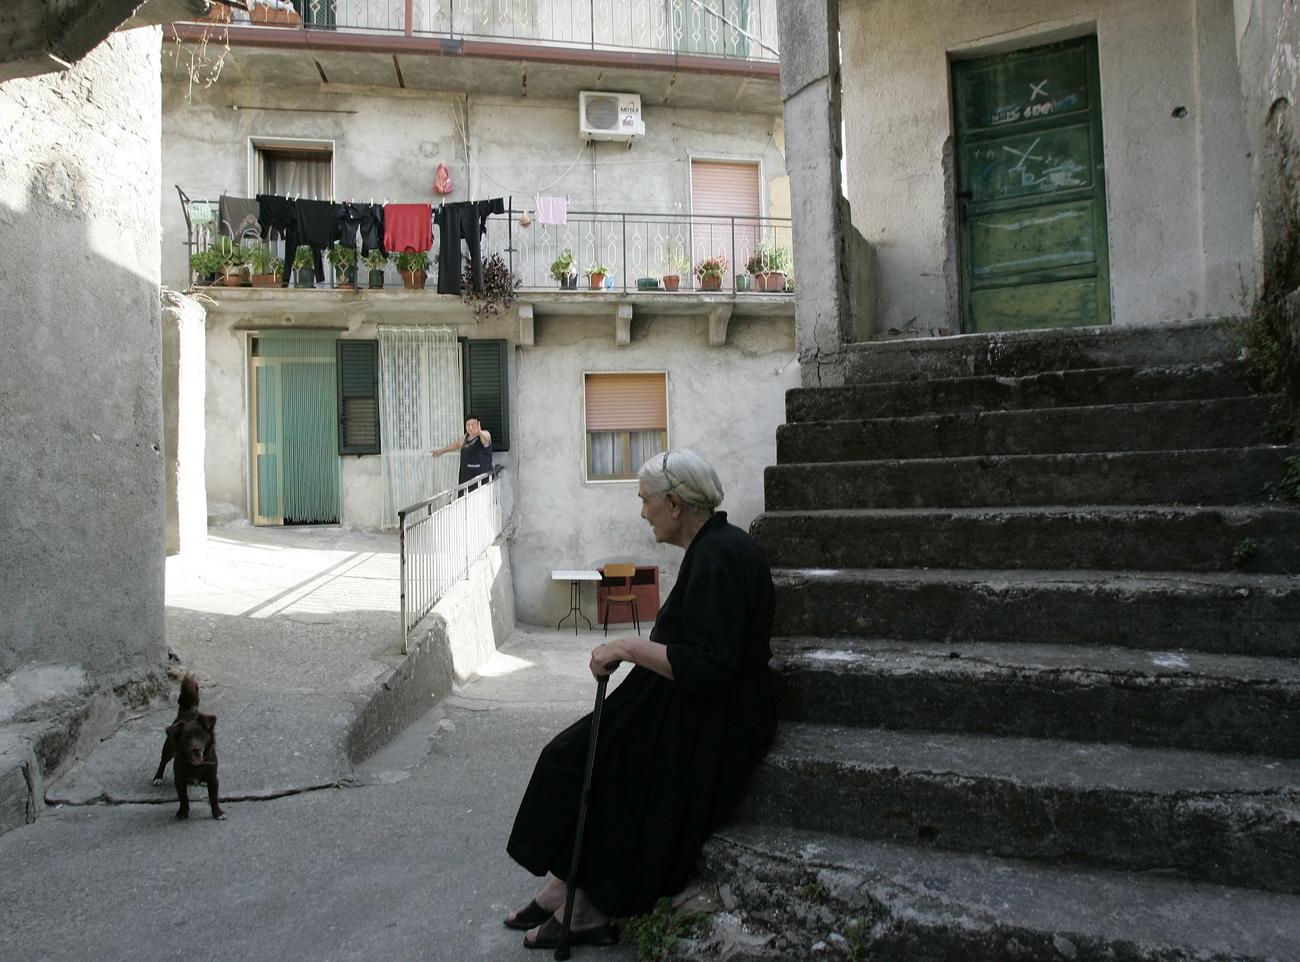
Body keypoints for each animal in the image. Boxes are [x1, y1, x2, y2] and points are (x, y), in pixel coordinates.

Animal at [152, 676, 226, 821]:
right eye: (185, 738)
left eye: (201, 735)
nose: (195, 749)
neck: (195, 765)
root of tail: (188, 710)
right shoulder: (179, 780)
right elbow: (183, 798)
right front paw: (182, 812)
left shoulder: (213, 779)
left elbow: (213, 797)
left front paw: (217, 813)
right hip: (168, 749)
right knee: (163, 761)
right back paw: (158, 777)